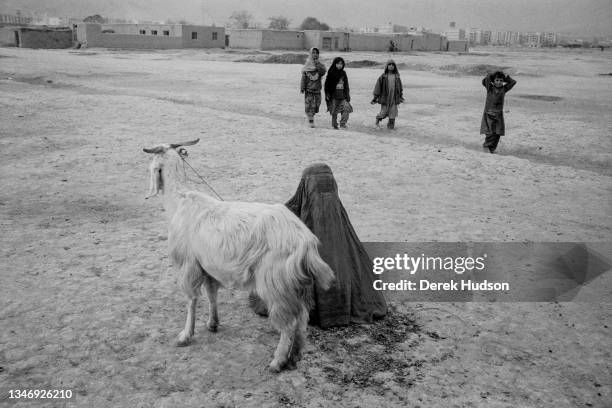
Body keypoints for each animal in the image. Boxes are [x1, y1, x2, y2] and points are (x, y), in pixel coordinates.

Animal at [143, 139, 334, 372]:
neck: (180, 201)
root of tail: (305, 241)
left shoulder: (189, 265)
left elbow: (191, 299)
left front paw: (185, 335)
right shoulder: (208, 265)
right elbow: (211, 294)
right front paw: (212, 323)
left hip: (275, 282)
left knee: (289, 323)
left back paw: (278, 361)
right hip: (295, 284)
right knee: (302, 318)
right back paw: (295, 356)